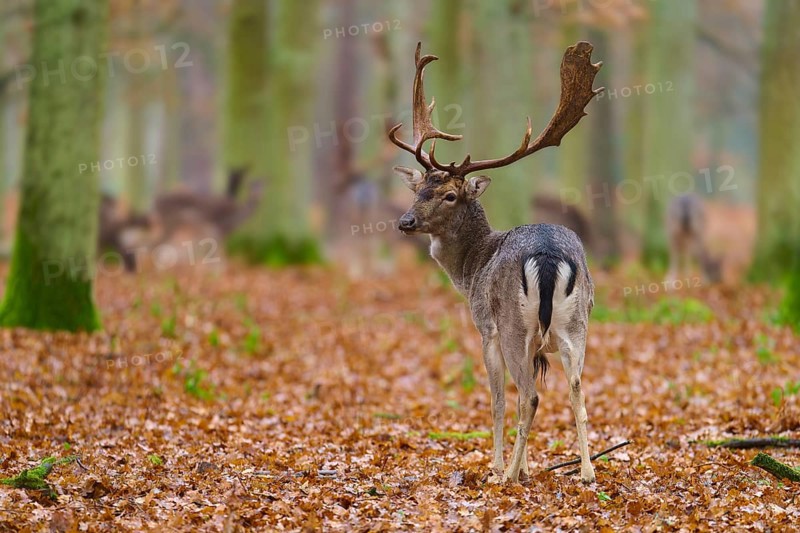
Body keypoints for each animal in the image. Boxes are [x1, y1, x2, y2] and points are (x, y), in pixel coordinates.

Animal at [389, 42, 603, 484]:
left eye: (450, 195)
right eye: (419, 189)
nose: (405, 222)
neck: (471, 268)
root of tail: (548, 256)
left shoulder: (485, 328)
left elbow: (499, 400)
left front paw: (503, 468)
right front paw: (526, 469)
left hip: (513, 325)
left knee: (530, 395)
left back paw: (505, 478)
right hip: (577, 324)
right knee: (576, 389)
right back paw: (588, 473)